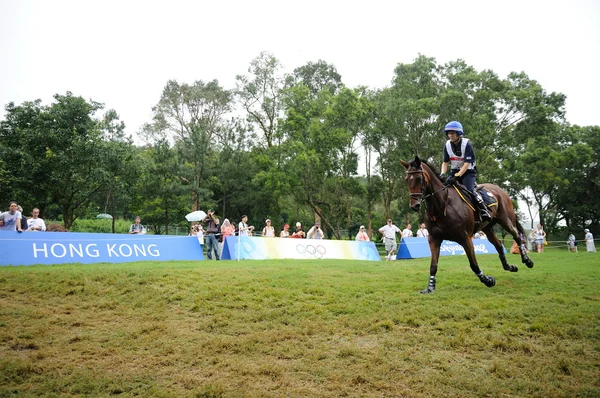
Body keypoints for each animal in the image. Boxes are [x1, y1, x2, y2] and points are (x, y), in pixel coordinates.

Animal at [400, 155, 532, 292]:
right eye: (406, 180)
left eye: (419, 178)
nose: (414, 205)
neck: (442, 206)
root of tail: (499, 189)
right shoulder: (434, 239)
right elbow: (433, 265)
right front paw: (430, 287)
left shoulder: (465, 238)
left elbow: (473, 264)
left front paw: (488, 280)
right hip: (488, 228)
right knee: (499, 245)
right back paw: (509, 267)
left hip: (505, 220)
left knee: (517, 236)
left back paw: (527, 260)